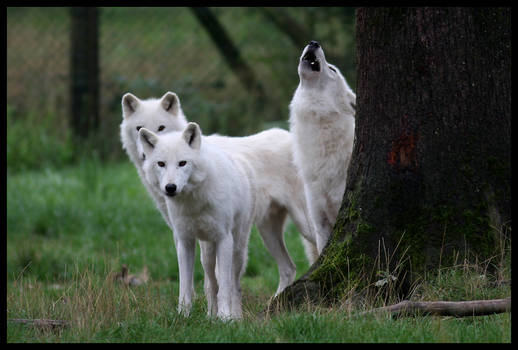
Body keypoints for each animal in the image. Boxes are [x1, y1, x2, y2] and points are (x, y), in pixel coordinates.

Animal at [121, 91, 320, 296]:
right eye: (139, 128)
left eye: (161, 127)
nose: (146, 156)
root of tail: (290, 135)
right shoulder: (181, 232)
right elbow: (192, 274)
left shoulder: (214, 232)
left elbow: (213, 273)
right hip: (267, 230)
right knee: (289, 268)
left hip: (304, 223)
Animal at [139, 123, 255, 320]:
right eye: (161, 164)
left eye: (182, 163)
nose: (170, 188)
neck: (193, 202)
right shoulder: (184, 241)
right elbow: (185, 287)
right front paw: (183, 315)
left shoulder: (224, 239)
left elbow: (225, 288)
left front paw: (225, 318)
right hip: (206, 254)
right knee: (211, 284)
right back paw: (210, 316)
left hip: (237, 249)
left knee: (234, 285)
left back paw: (235, 316)